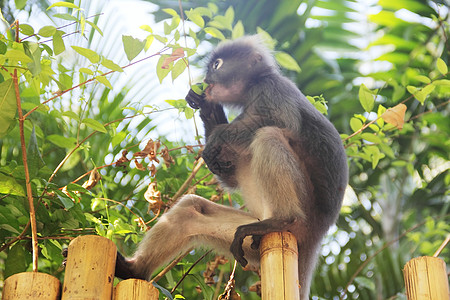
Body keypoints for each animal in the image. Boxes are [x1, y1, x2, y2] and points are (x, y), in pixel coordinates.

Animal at [116, 35, 348, 298]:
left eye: (217, 65)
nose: (207, 79)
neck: (252, 91)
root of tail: (319, 233)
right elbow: (230, 178)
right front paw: (209, 109)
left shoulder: (272, 88)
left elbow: (282, 121)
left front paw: (217, 133)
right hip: (252, 242)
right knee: (189, 209)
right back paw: (133, 270)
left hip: (303, 212)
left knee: (267, 135)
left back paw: (282, 219)